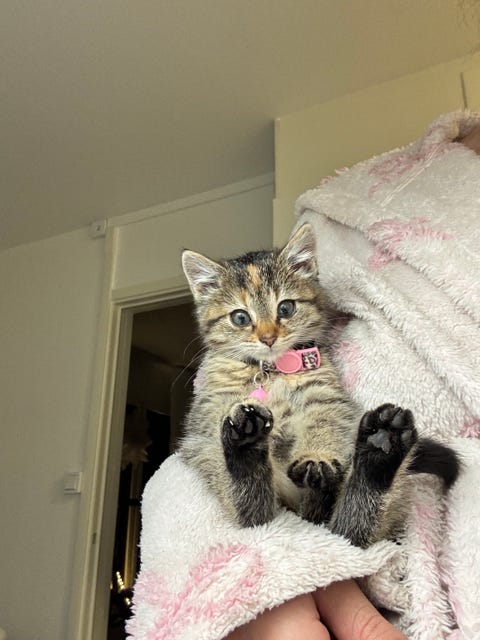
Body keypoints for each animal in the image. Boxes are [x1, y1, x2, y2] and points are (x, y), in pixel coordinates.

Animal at [178, 223, 460, 547]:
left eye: (285, 308)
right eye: (240, 317)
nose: (268, 337)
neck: (271, 370)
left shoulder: (325, 395)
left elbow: (324, 421)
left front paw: (317, 458)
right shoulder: (208, 413)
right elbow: (216, 430)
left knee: (352, 531)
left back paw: (380, 450)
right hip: (215, 465)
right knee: (256, 515)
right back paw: (246, 450)